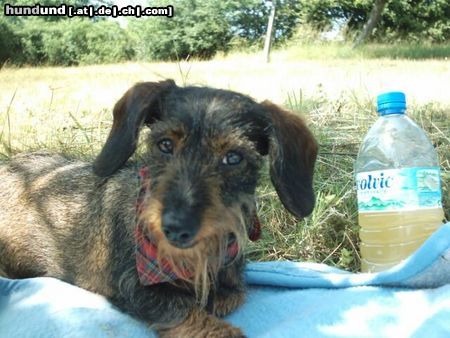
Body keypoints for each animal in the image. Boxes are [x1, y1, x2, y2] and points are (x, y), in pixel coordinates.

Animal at [0, 80, 318, 336]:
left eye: (233, 157)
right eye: (165, 144)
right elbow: (186, 310)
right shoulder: (133, 286)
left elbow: (232, 293)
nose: (176, 229)